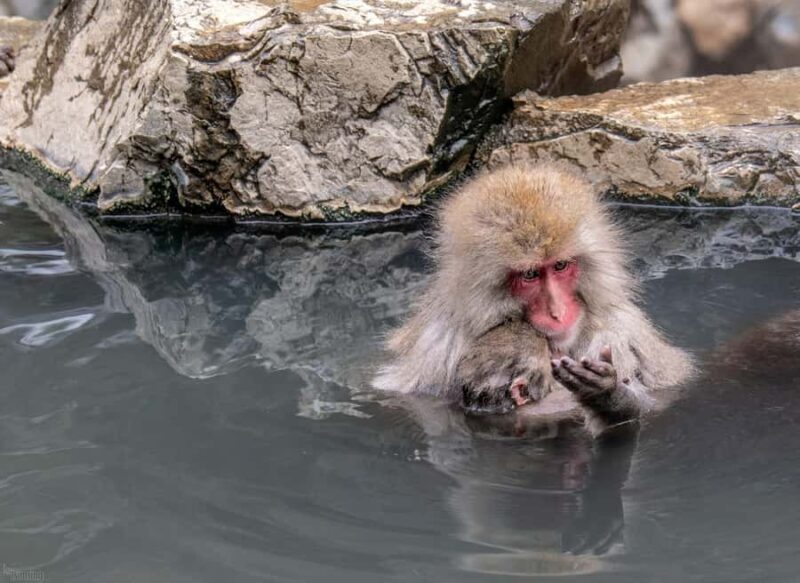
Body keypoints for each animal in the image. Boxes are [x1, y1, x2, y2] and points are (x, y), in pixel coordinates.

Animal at [373, 165, 695, 434]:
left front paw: (608, 396)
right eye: (530, 274)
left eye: (560, 266)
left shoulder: (618, 332)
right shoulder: (438, 344)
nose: (557, 311)